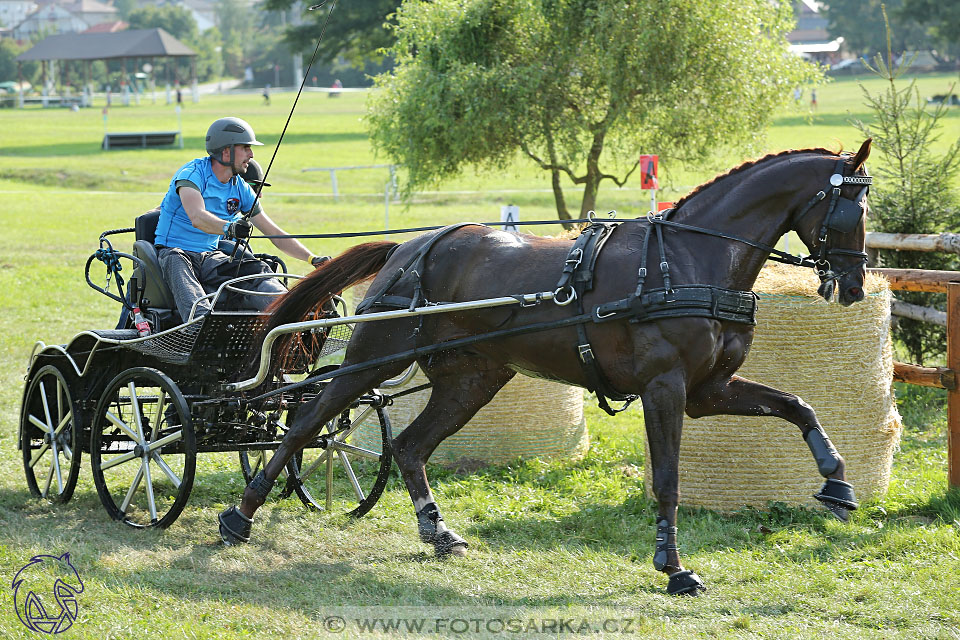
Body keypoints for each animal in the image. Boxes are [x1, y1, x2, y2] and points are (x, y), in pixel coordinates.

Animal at [219, 139, 876, 596]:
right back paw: (239, 516)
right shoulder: (666, 388)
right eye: (851, 208)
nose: (853, 286)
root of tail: (413, 246)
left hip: (472, 379)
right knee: (310, 422)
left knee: (408, 446)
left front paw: (836, 481)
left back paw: (437, 532)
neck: (691, 260)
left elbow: (797, 405)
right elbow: (668, 480)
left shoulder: (708, 390)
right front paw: (673, 566)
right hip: (375, 358)